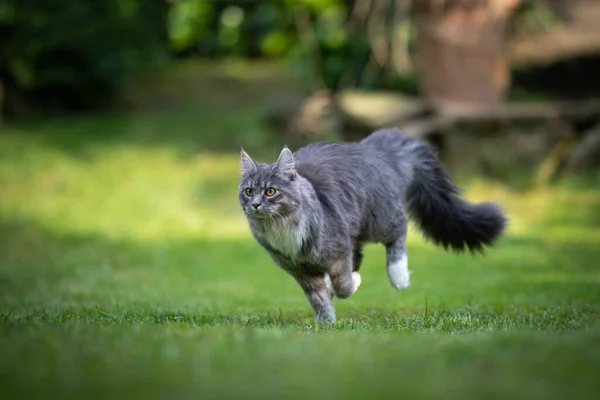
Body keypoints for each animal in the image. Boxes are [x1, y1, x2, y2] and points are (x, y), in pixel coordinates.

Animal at [239, 129, 506, 324]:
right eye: (249, 191)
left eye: (270, 191)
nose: (255, 204)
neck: (282, 228)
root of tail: (373, 149)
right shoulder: (300, 271)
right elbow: (319, 300)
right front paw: (327, 324)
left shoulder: (339, 251)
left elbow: (344, 286)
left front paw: (350, 285)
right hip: (356, 229)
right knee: (360, 254)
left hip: (379, 221)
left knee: (399, 233)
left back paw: (399, 277)